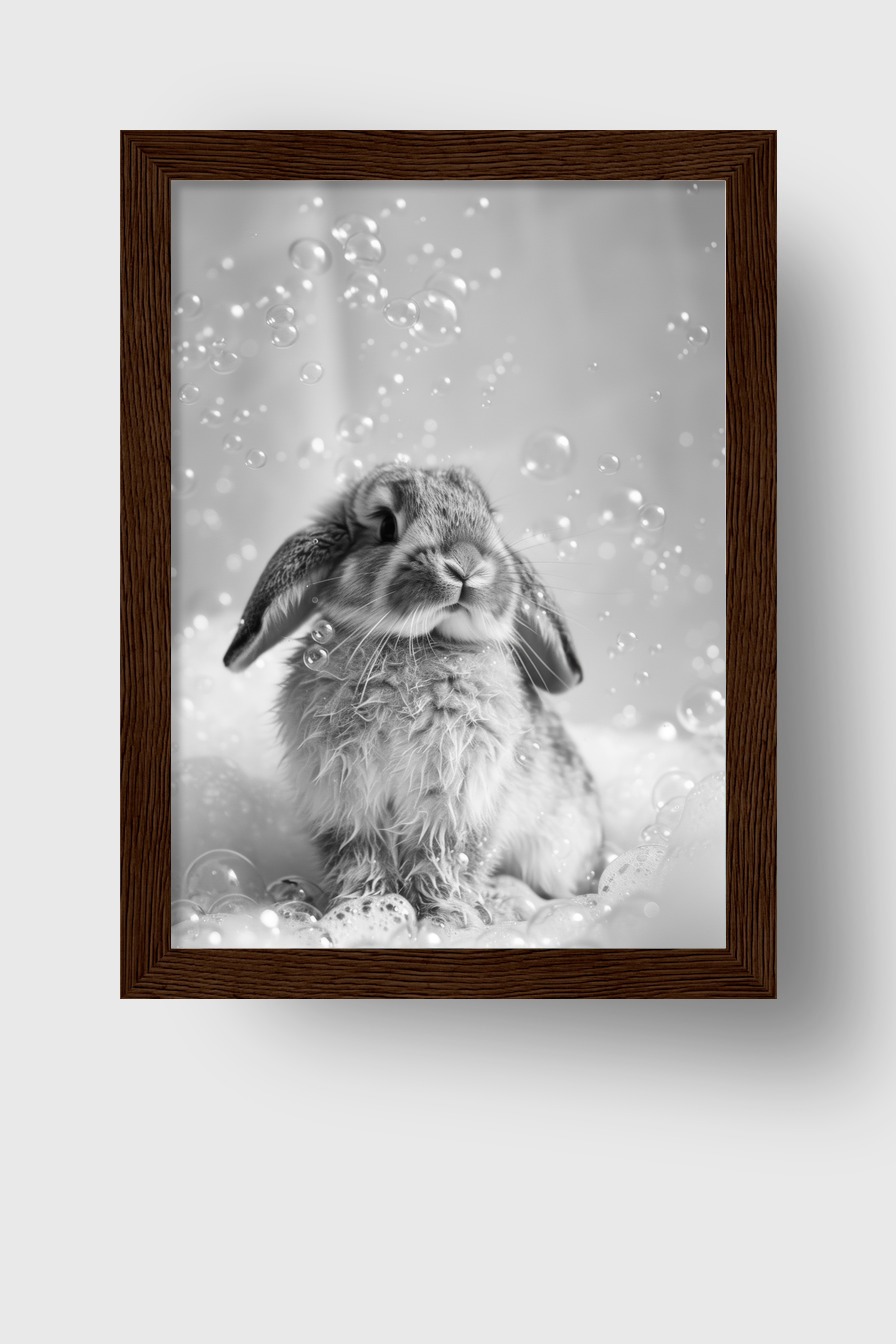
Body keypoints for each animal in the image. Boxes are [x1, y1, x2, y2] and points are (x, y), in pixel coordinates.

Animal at [223, 462, 603, 923]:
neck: (418, 643)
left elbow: (443, 859)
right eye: (386, 525)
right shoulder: (346, 802)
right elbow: (361, 857)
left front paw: (446, 918)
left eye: (490, 520)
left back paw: (506, 899)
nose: (465, 563)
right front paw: (364, 908)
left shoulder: (455, 802)